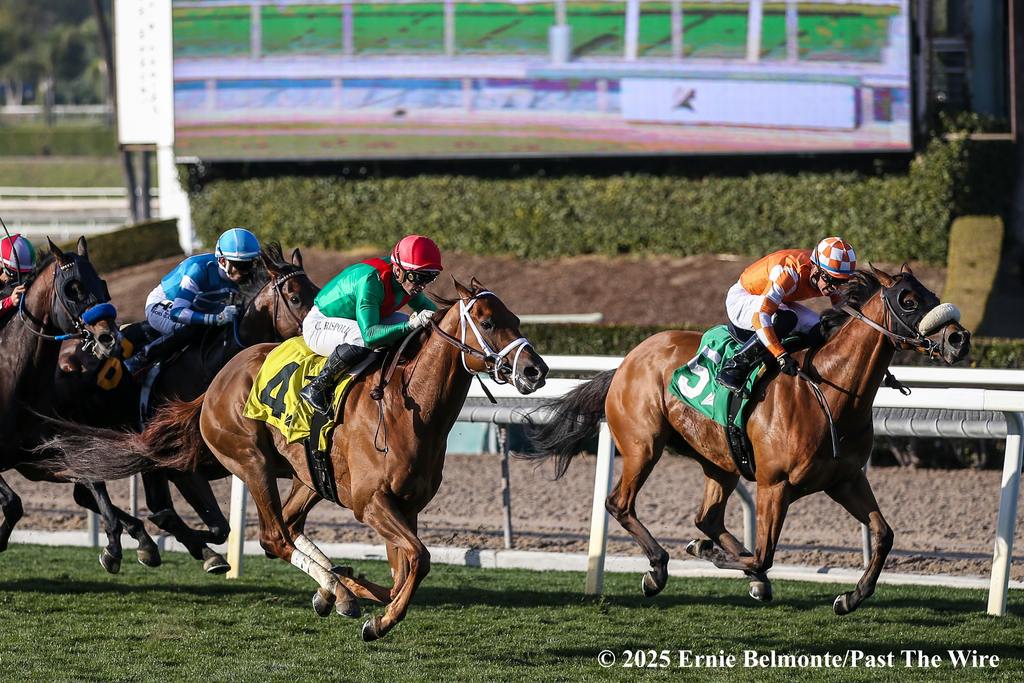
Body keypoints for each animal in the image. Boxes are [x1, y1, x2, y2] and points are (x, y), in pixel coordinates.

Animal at [38, 278, 548, 643]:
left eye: (515, 317)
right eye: (486, 320)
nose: (535, 370)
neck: (408, 409)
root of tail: (214, 384)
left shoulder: (408, 507)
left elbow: (404, 568)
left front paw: (356, 590)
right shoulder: (370, 504)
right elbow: (418, 560)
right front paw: (377, 620)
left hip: (308, 475)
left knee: (288, 526)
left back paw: (335, 588)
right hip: (252, 462)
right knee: (274, 537)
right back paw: (334, 589)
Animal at [528, 266, 966, 614]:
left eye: (933, 295)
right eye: (908, 300)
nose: (959, 339)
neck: (829, 389)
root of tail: (625, 362)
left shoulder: (846, 479)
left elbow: (883, 534)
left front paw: (850, 597)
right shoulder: (776, 484)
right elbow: (763, 556)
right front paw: (710, 555)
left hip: (718, 459)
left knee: (706, 517)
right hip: (643, 445)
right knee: (620, 503)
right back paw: (658, 568)